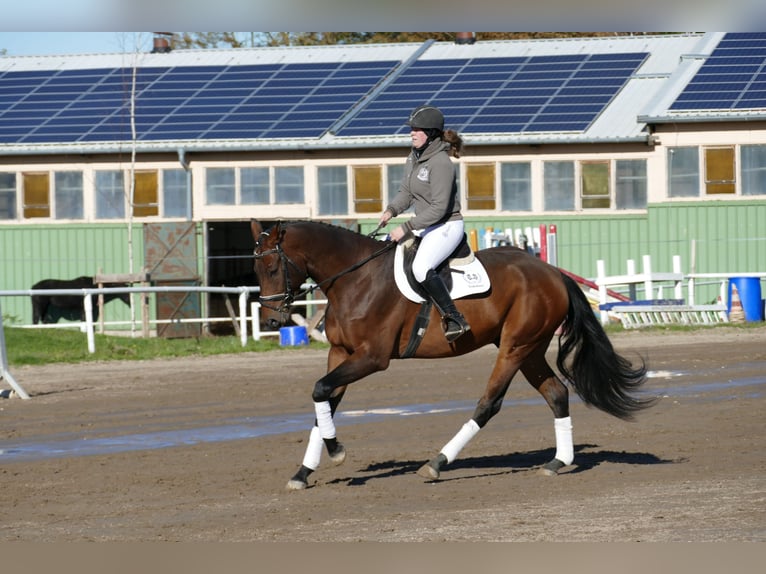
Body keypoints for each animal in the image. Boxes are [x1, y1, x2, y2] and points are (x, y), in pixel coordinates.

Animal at [250, 220, 655, 490]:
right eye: (256, 267)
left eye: (272, 266)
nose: (271, 321)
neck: (355, 280)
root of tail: (552, 273)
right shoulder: (340, 353)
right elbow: (325, 402)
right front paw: (304, 472)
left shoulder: (370, 358)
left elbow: (321, 391)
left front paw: (335, 451)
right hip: (529, 350)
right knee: (556, 393)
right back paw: (557, 462)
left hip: (515, 348)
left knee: (489, 403)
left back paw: (437, 463)